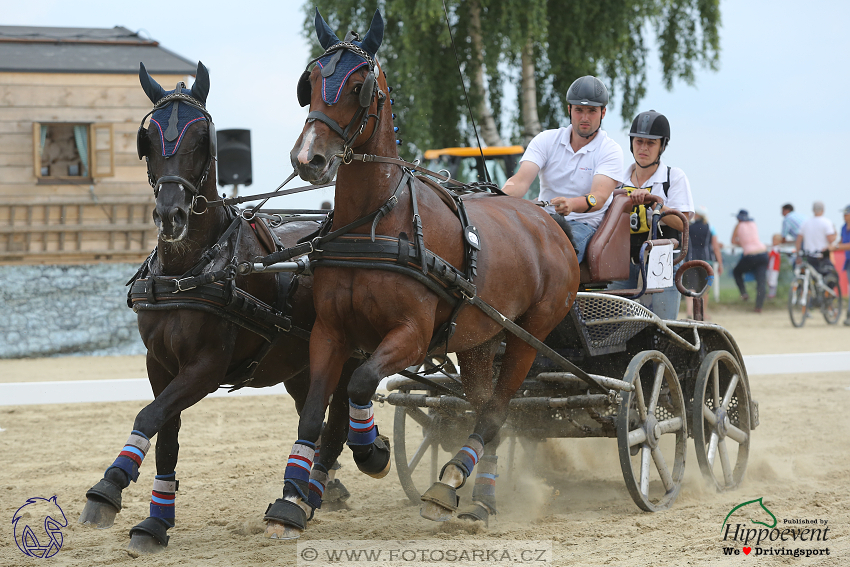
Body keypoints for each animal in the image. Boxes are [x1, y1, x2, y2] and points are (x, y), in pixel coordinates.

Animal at [78, 62, 356, 556]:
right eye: (148, 141)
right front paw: (154, 522)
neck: (188, 270)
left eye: (200, 139)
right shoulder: (160, 364)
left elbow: (148, 416)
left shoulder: (207, 367)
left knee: (340, 419)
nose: (171, 216)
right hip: (298, 366)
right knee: (318, 418)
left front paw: (108, 488)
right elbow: (165, 432)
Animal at [264, 10, 576, 536]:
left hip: (529, 337)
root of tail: (547, 221)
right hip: (479, 341)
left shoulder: (409, 335)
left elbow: (361, 384)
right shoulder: (330, 332)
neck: (374, 223)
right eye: (310, 82)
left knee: (496, 411)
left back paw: (450, 483)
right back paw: (479, 497)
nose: (309, 159)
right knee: (484, 407)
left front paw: (372, 452)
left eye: (360, 86)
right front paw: (291, 500)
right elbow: (313, 415)